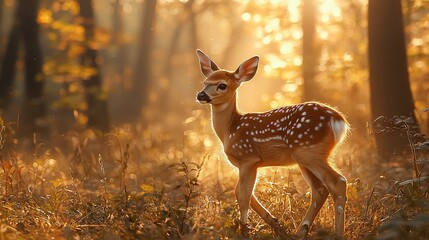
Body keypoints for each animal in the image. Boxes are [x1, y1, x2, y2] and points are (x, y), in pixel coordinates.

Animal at [196, 49, 350, 238]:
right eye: (205, 82)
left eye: (222, 85)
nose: (201, 95)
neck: (229, 129)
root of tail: (339, 121)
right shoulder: (248, 164)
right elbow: (244, 193)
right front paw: (274, 224)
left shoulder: (248, 158)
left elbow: (243, 196)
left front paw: (244, 230)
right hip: (305, 157)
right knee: (320, 189)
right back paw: (300, 232)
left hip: (309, 151)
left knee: (338, 182)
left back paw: (337, 234)